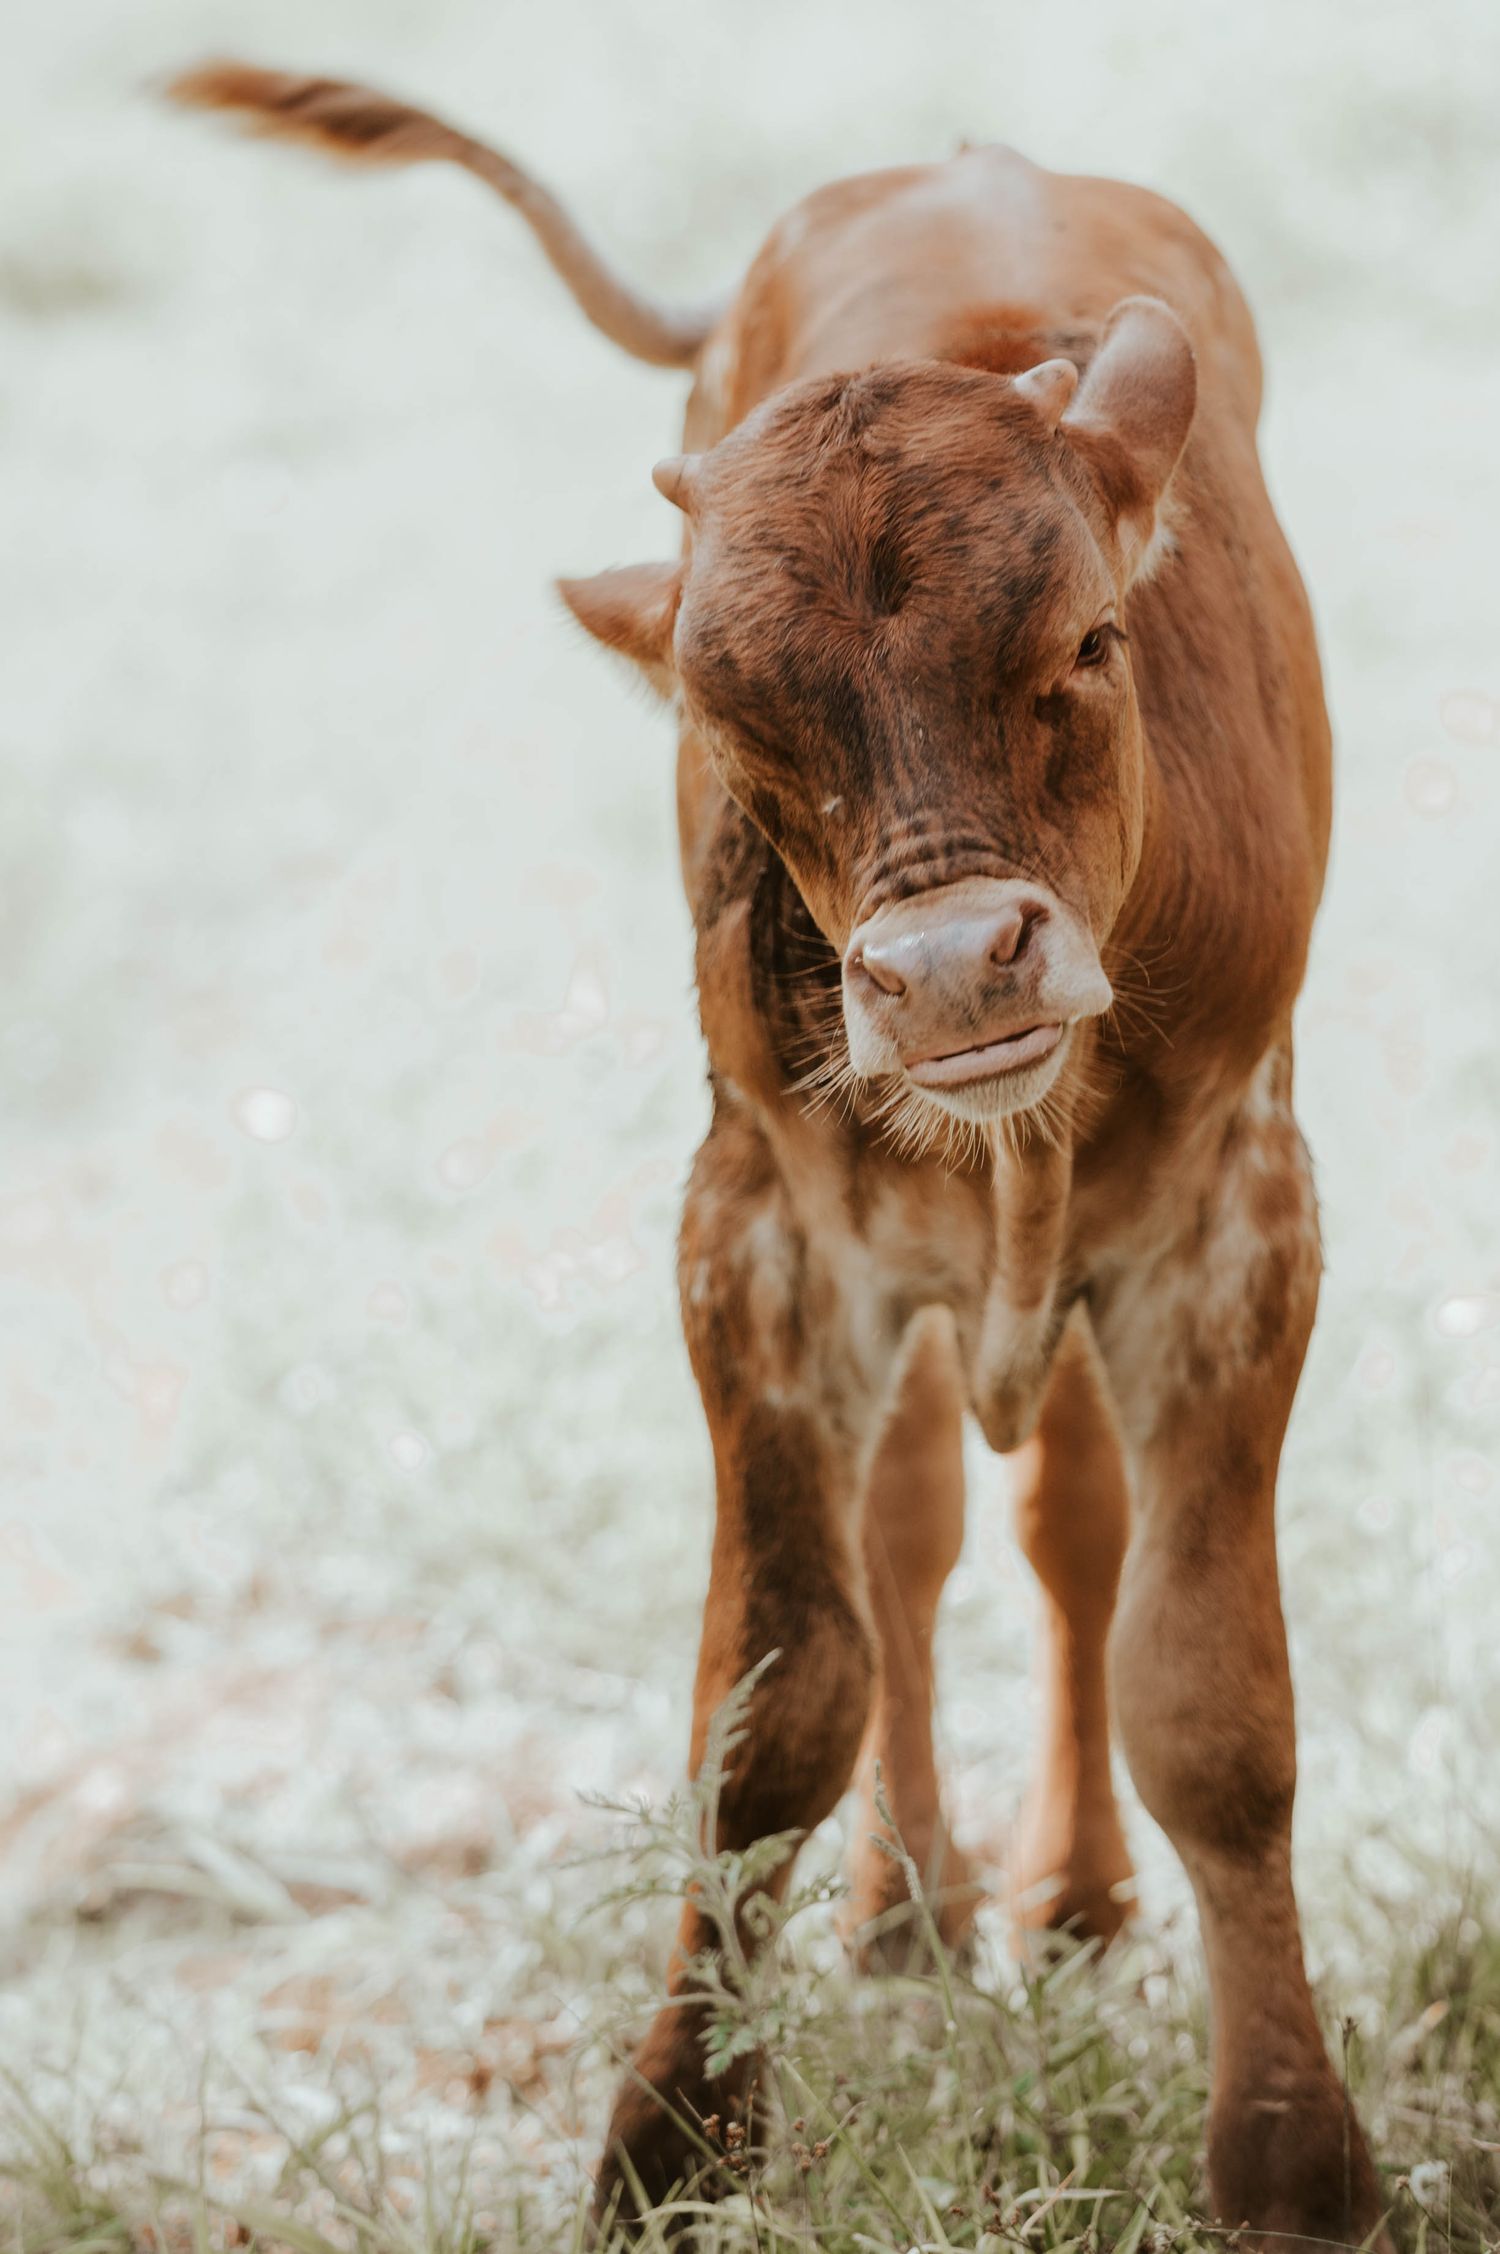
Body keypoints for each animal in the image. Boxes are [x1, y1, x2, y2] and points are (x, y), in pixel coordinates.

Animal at [168, 64, 1391, 2250]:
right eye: (734, 733)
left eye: (1090, 644)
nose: (949, 967)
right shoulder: (759, 1236)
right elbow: (775, 1700)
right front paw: (675, 2130)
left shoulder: (1239, 1223)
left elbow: (1212, 1699)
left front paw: (1288, 2153)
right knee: (912, 1531)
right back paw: (911, 1907)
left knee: (1066, 1531)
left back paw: (1071, 1894)